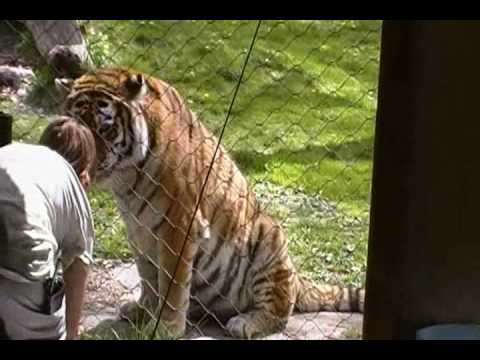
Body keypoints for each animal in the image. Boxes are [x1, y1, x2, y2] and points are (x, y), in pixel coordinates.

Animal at [55, 67, 364, 340]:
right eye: (78, 127)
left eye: (105, 129)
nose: (89, 160)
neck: (127, 177)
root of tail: (297, 280)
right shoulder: (137, 228)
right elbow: (148, 275)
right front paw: (144, 310)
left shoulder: (178, 225)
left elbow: (171, 283)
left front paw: (166, 328)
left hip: (269, 235)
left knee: (279, 311)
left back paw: (245, 323)